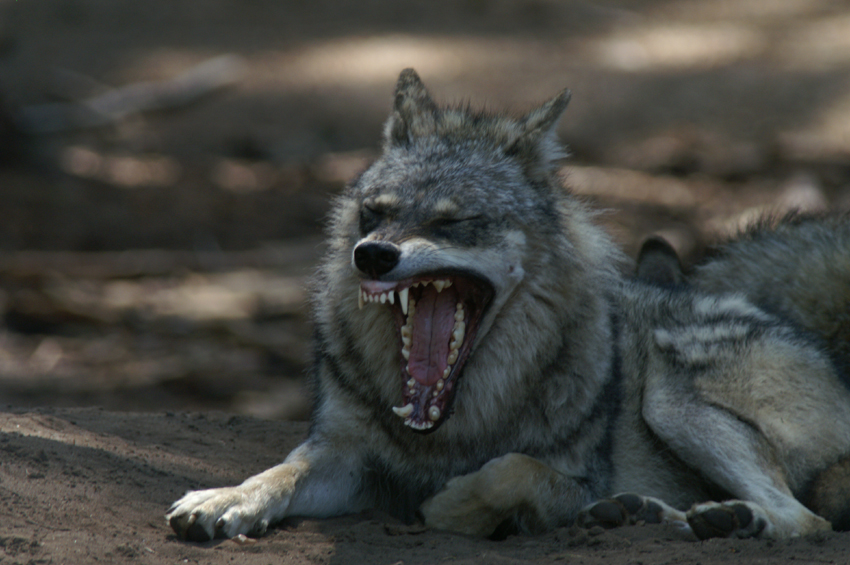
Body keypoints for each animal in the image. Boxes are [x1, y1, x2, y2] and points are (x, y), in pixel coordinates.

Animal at [164, 70, 848, 540]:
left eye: (455, 222)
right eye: (374, 213)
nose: (372, 256)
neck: (447, 428)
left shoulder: (572, 477)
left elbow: (509, 469)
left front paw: (452, 506)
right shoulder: (341, 454)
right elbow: (280, 473)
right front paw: (226, 498)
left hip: (671, 400)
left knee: (807, 520)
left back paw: (723, 520)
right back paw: (655, 515)